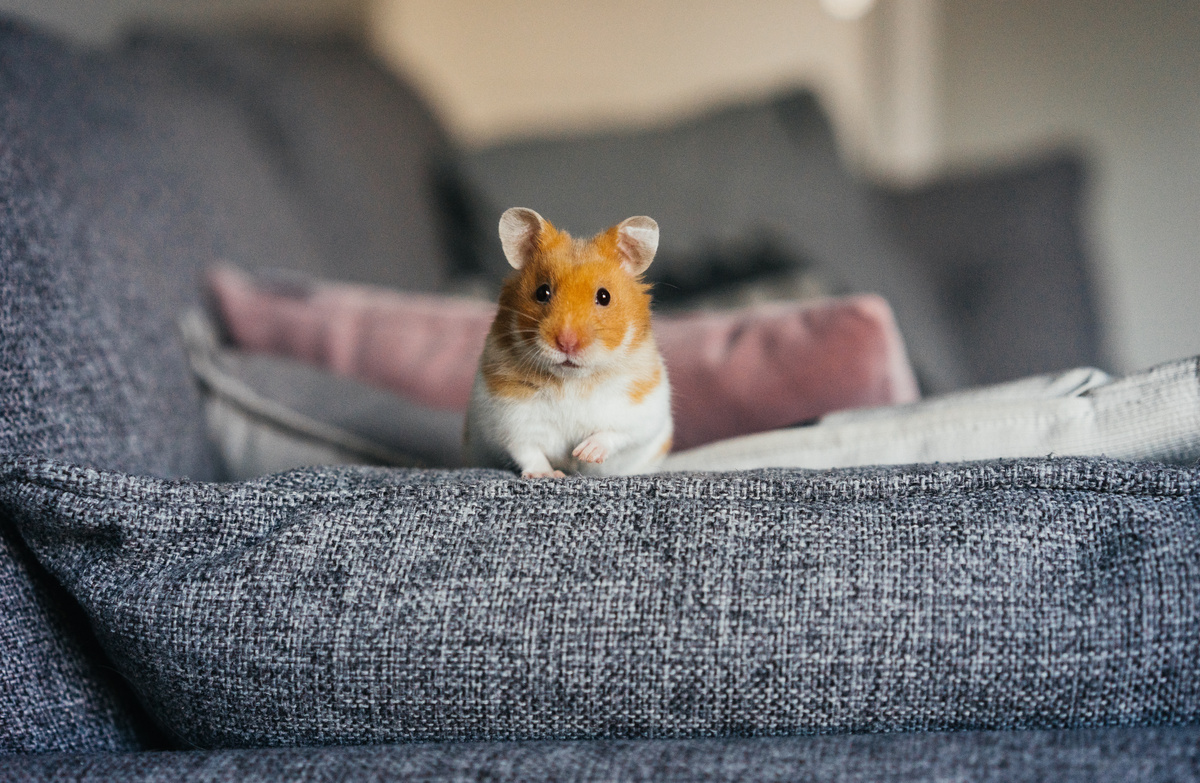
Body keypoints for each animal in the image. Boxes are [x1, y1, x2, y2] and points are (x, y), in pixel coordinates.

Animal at [465, 207, 676, 477]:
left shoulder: (641, 412)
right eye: (542, 292)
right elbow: (527, 450)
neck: (572, 380)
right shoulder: (509, 419)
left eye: (604, 296)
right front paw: (547, 474)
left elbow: (614, 434)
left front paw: (584, 453)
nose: (566, 343)